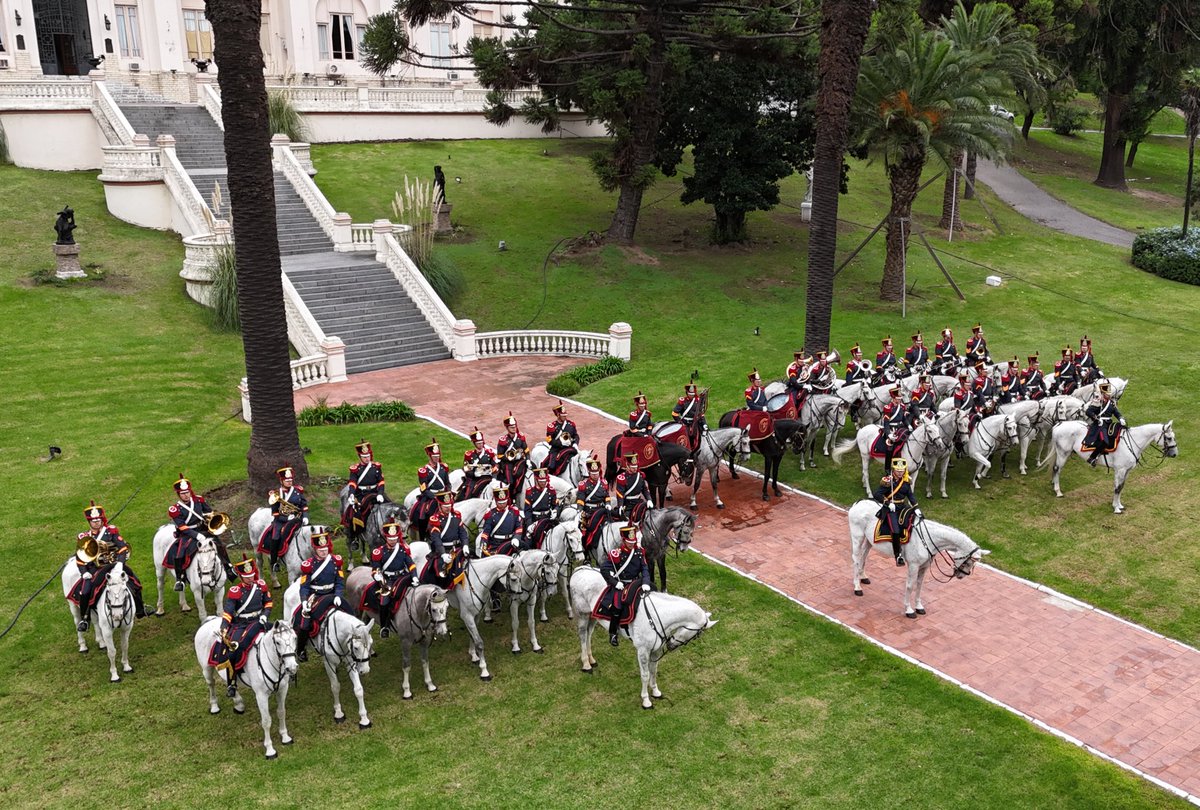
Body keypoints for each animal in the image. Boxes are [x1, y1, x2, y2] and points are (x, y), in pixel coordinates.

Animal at [192, 619, 297, 758]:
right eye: (278, 642)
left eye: (295, 638)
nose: (292, 667)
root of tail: (209, 621)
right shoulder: (261, 695)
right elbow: (266, 721)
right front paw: (270, 749)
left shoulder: (282, 689)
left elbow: (281, 712)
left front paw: (285, 737)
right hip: (207, 669)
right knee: (211, 684)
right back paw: (214, 706)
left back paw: (238, 702)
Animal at [282, 585, 372, 724]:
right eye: (356, 647)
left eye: (371, 644)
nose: (365, 670)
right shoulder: (329, 663)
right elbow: (335, 686)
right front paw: (338, 713)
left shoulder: (351, 662)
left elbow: (358, 689)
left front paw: (364, 718)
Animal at [564, 571, 710, 710]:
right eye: (696, 635)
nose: (671, 645)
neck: (657, 616)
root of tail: (579, 571)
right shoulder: (643, 651)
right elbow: (645, 674)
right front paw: (646, 700)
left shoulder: (656, 649)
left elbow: (653, 670)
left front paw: (655, 691)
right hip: (583, 615)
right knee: (583, 636)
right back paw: (586, 664)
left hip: (592, 616)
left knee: (589, 634)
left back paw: (591, 659)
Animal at [849, 496, 988, 619]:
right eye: (968, 562)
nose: (961, 575)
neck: (928, 538)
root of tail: (858, 502)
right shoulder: (913, 565)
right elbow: (910, 585)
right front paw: (909, 609)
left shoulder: (924, 566)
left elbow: (919, 585)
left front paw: (919, 606)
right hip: (857, 537)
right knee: (856, 559)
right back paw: (857, 587)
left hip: (869, 540)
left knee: (863, 556)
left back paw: (862, 577)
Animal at [1046, 424, 1176, 513]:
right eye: (1169, 438)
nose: (1174, 454)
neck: (1131, 443)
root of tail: (1059, 425)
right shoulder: (1120, 470)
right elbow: (1117, 488)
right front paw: (1116, 508)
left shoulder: (1126, 471)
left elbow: (1121, 487)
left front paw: (1119, 505)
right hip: (1063, 454)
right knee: (1056, 469)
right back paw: (1058, 491)